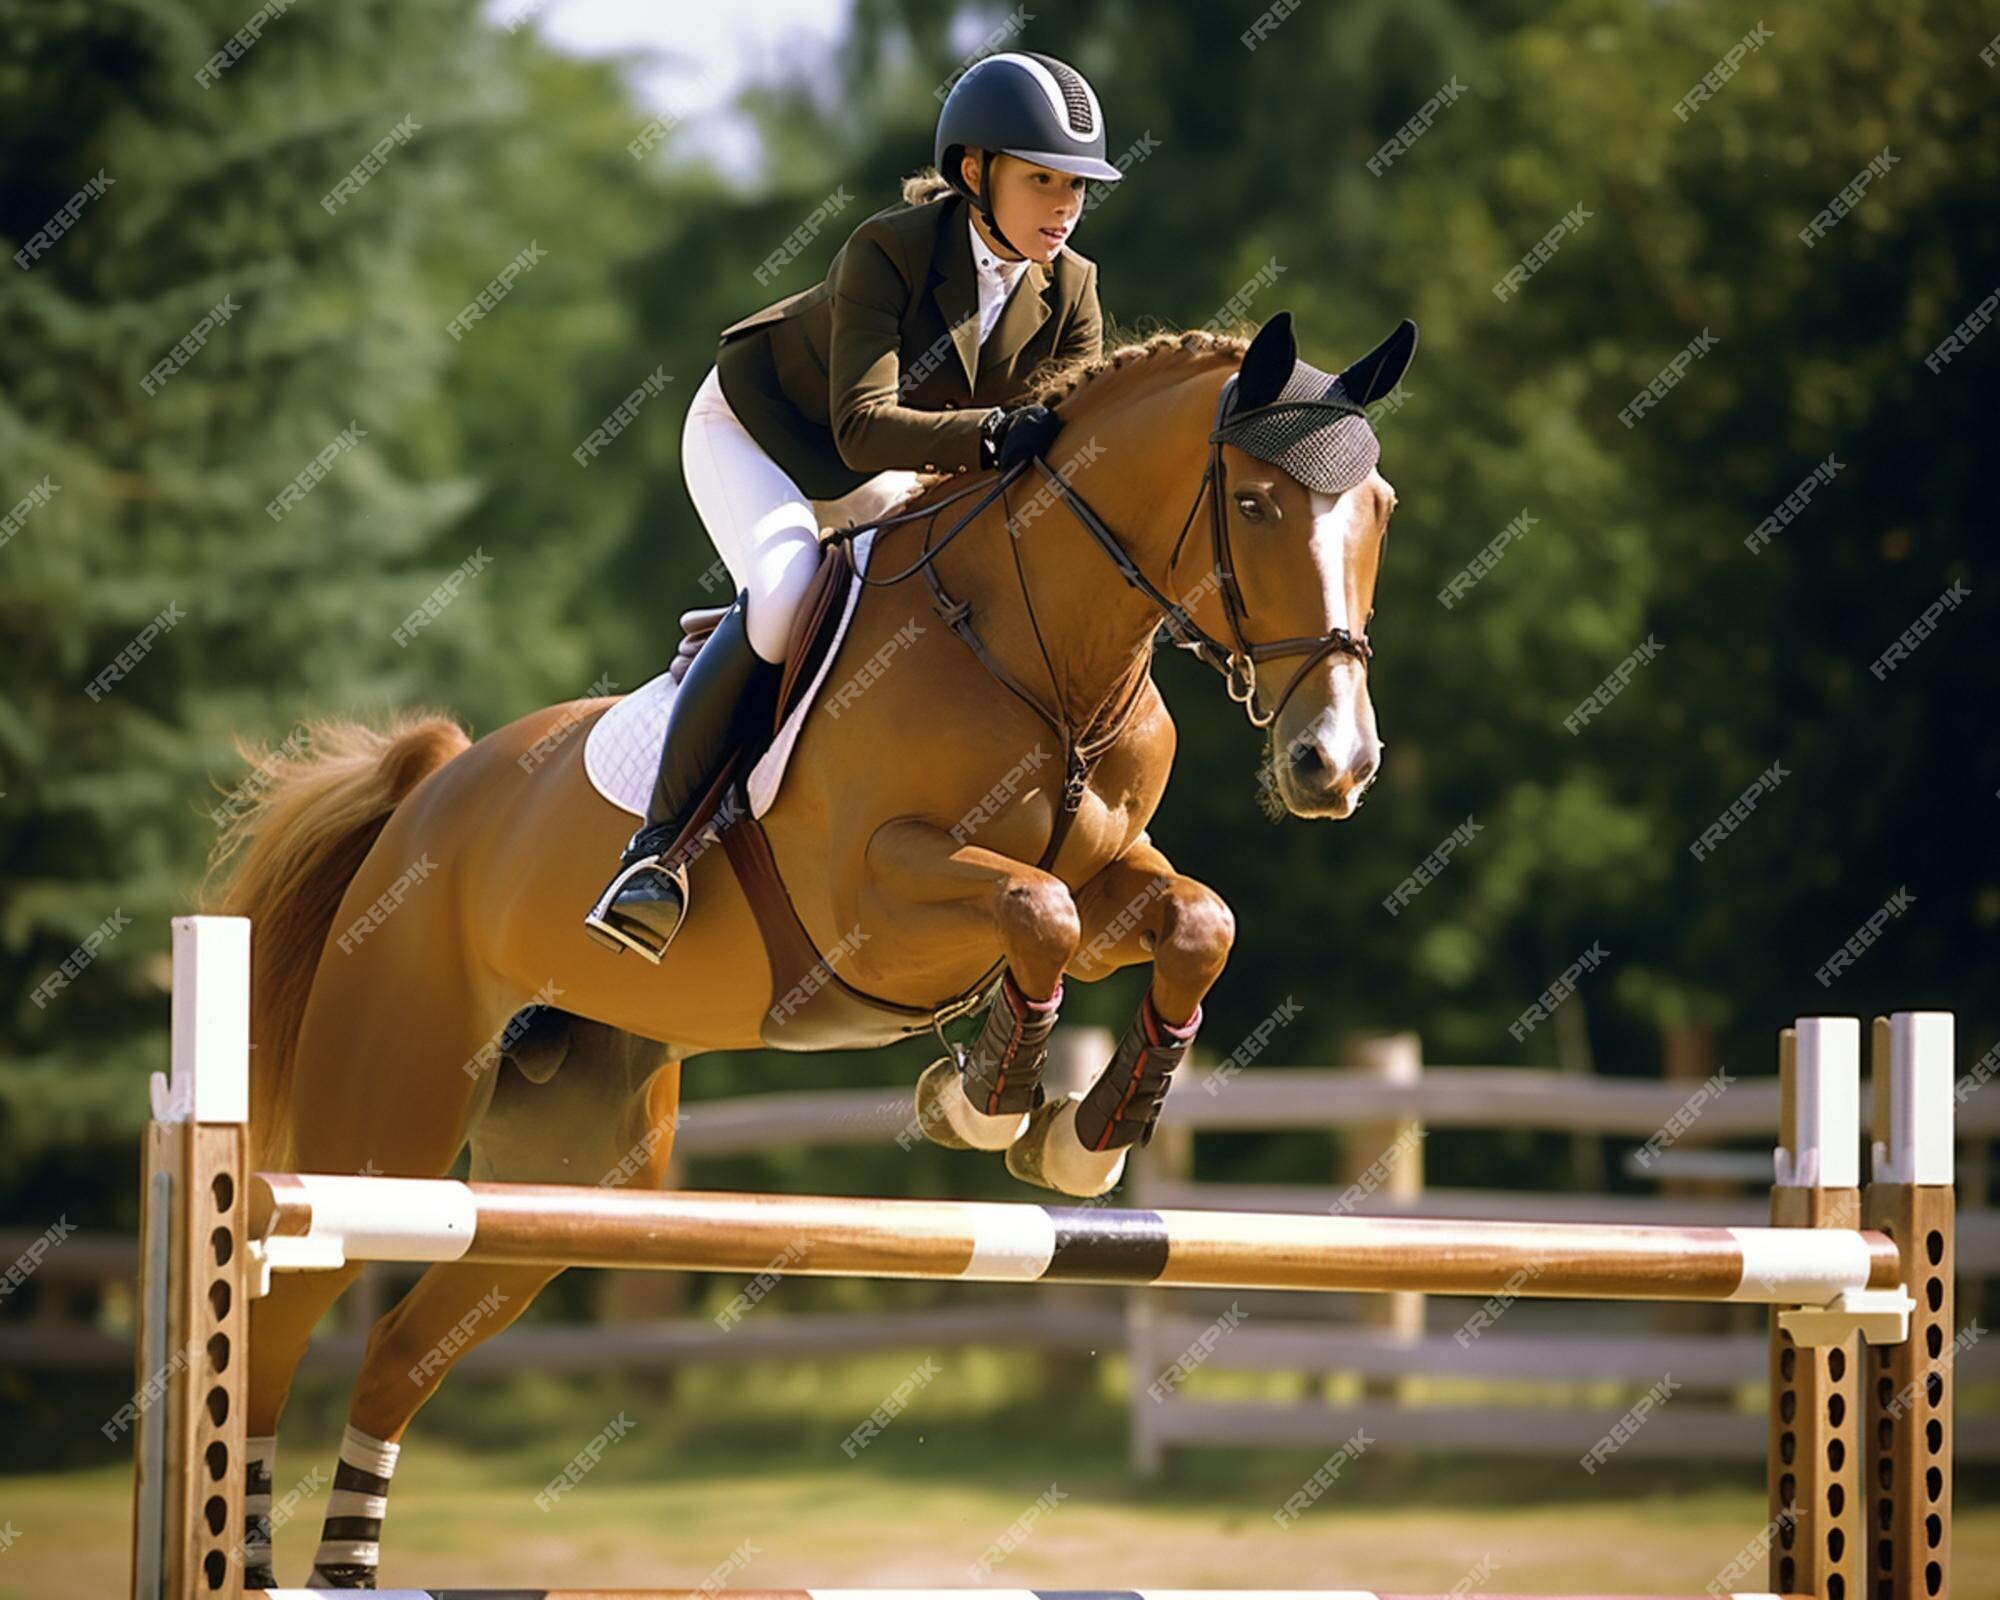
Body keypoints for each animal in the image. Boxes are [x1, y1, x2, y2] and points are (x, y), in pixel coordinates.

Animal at [207, 312, 1408, 1584]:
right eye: (1256, 502)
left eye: (1377, 507)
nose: (1332, 763)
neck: (1045, 656)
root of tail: (431, 788)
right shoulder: (874, 904)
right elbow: (1036, 908)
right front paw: (979, 1099)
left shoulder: (1109, 880)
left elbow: (1188, 920)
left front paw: (1082, 1139)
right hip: (381, 1125)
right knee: (275, 1331)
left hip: (574, 1173)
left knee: (398, 1354)